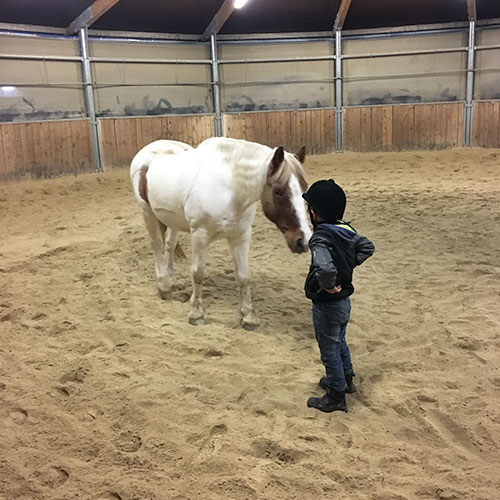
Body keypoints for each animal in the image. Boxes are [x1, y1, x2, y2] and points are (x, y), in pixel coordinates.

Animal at [132, 139, 312, 330]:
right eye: (278, 191)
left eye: (305, 188)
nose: (303, 240)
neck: (230, 190)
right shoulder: (200, 235)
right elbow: (198, 273)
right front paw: (196, 313)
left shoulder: (241, 236)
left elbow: (244, 276)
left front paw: (248, 316)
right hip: (147, 213)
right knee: (156, 245)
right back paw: (164, 285)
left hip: (173, 220)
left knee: (169, 245)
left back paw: (171, 279)